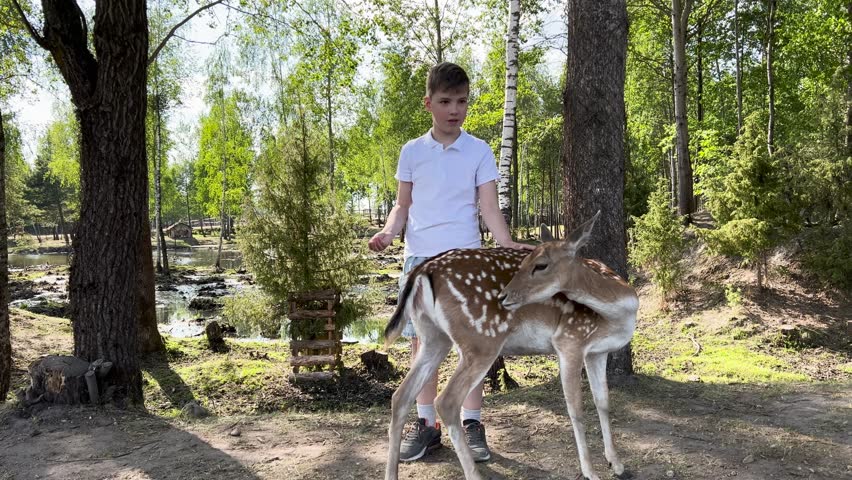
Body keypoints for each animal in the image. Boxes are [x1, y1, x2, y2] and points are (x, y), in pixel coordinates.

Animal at [383, 212, 639, 480]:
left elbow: (603, 402)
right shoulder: (570, 340)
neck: (619, 314)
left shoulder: (598, 352)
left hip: (433, 337)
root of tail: (424, 269)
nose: (504, 296)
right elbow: (576, 409)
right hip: (481, 339)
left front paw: (616, 464)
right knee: (446, 401)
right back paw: (474, 474)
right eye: (525, 260)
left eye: (540, 264)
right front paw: (590, 471)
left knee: (401, 396)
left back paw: (391, 473)